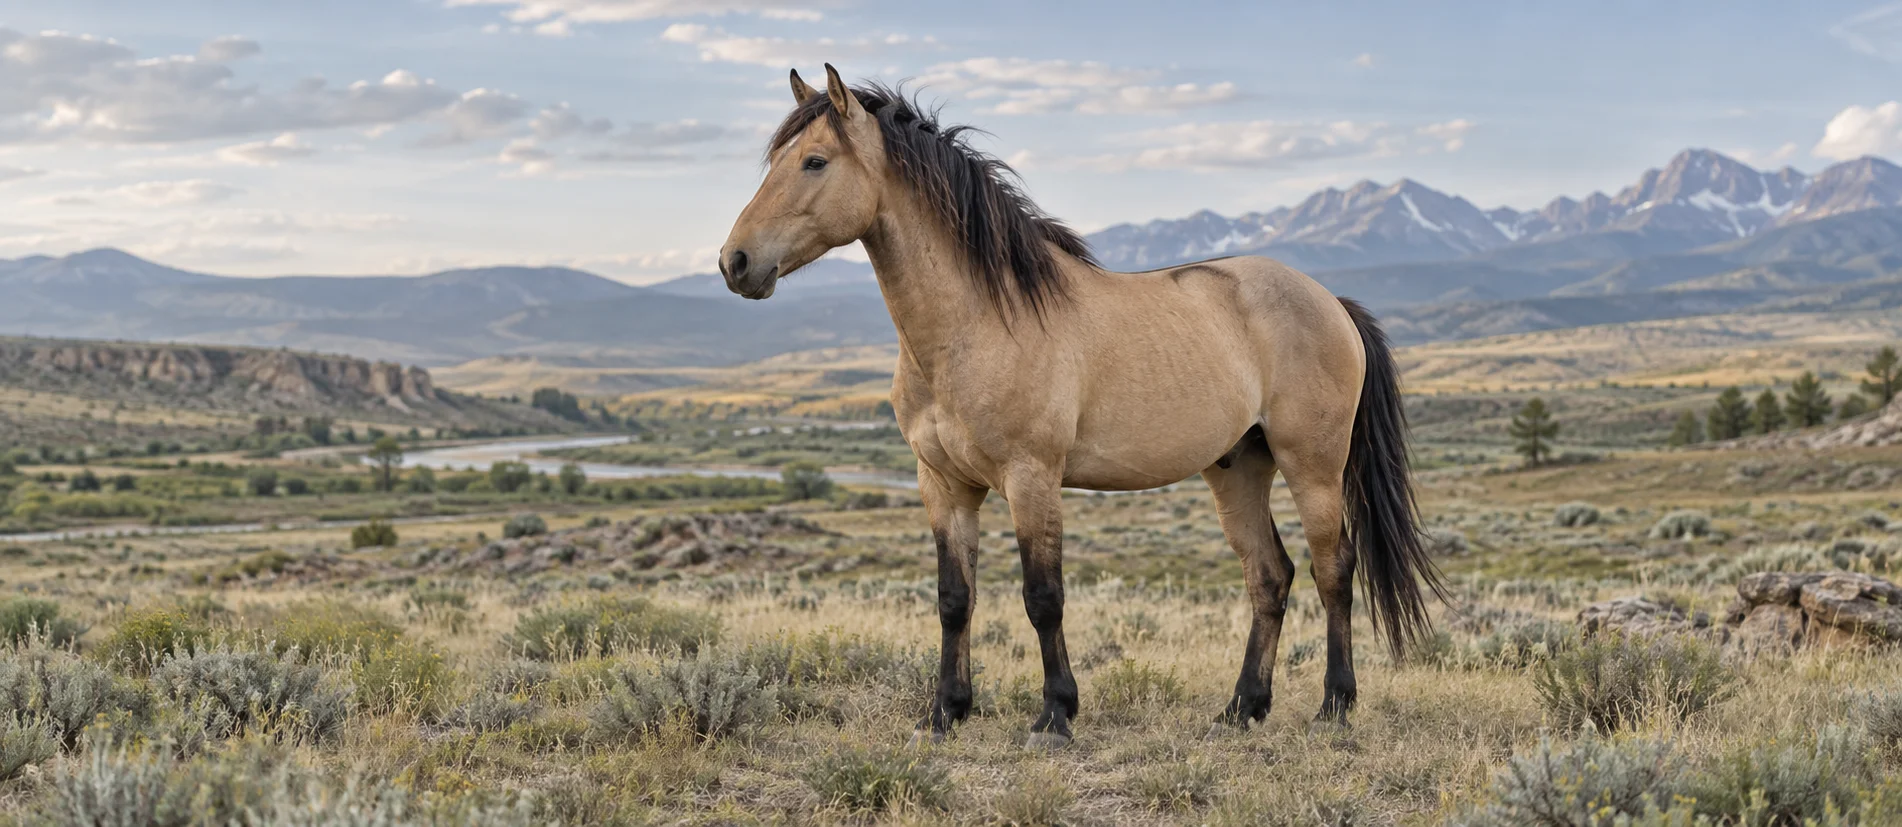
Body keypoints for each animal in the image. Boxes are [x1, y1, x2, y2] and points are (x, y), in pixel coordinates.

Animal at [718, 64, 1446, 750]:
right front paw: (944, 713)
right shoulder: (943, 483)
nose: (735, 262)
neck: (979, 321)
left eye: (815, 161)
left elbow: (1043, 597)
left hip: (1312, 464)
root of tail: (1330, 301)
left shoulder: (1031, 477)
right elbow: (955, 598)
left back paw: (1334, 706)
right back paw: (1241, 709)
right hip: (1238, 466)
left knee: (1333, 570)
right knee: (1270, 575)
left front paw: (1054, 715)